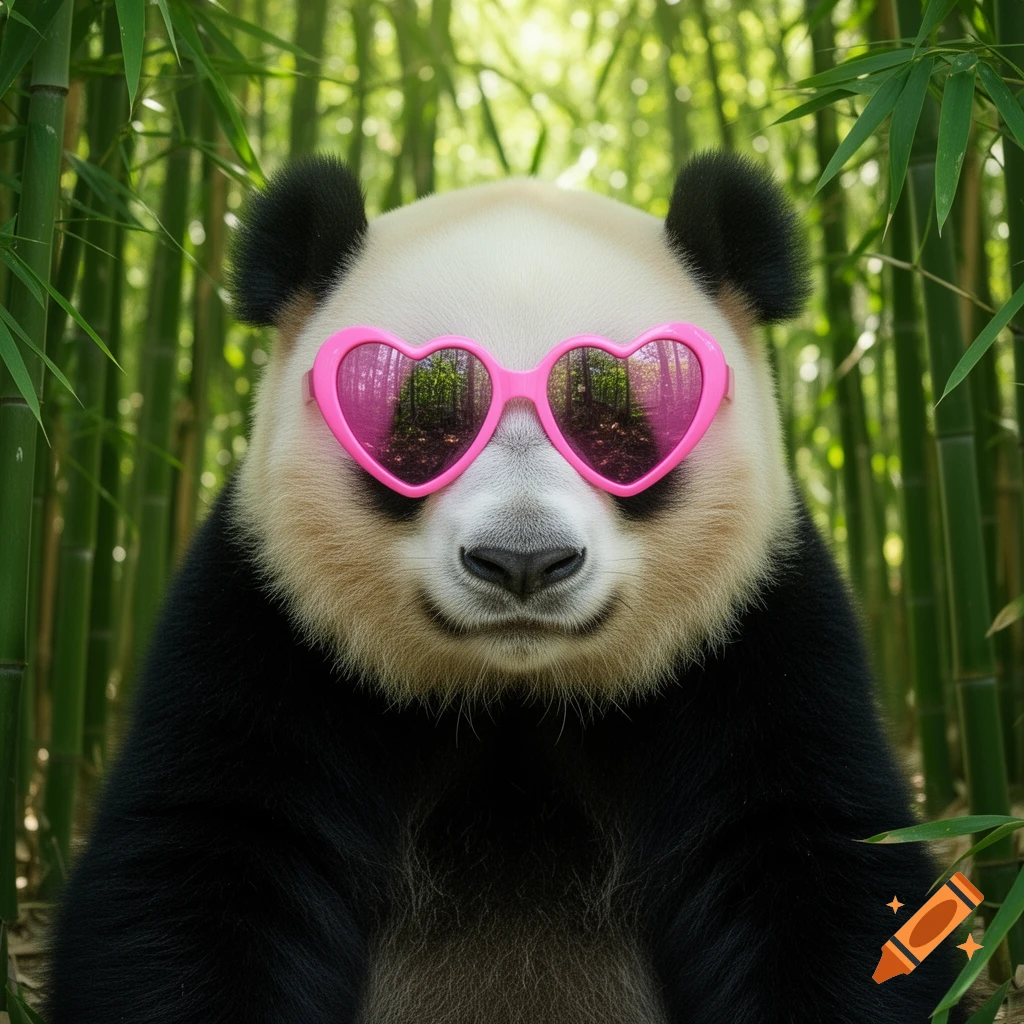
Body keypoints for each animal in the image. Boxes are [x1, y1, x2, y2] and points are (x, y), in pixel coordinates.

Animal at [47, 151, 966, 1024]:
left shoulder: (761, 639)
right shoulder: (263, 626)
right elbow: (202, 864)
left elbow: (816, 866)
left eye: (623, 425)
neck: (515, 699)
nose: (523, 561)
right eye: (416, 424)